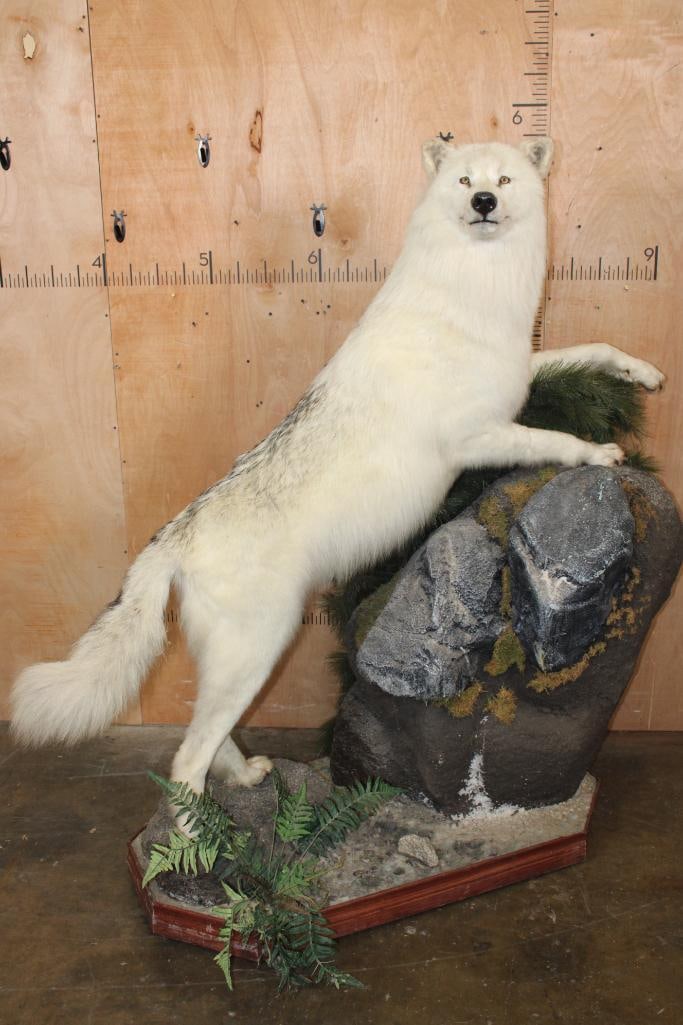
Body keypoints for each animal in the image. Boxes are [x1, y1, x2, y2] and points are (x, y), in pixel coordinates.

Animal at [11, 136, 664, 799]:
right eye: (463, 181)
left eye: (503, 180)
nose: (484, 200)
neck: (471, 289)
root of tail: (174, 535)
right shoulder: (478, 438)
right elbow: (553, 438)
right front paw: (599, 453)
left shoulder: (518, 380)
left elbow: (590, 349)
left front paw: (643, 372)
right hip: (260, 652)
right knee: (186, 760)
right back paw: (203, 823)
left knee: (207, 741)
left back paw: (245, 777)